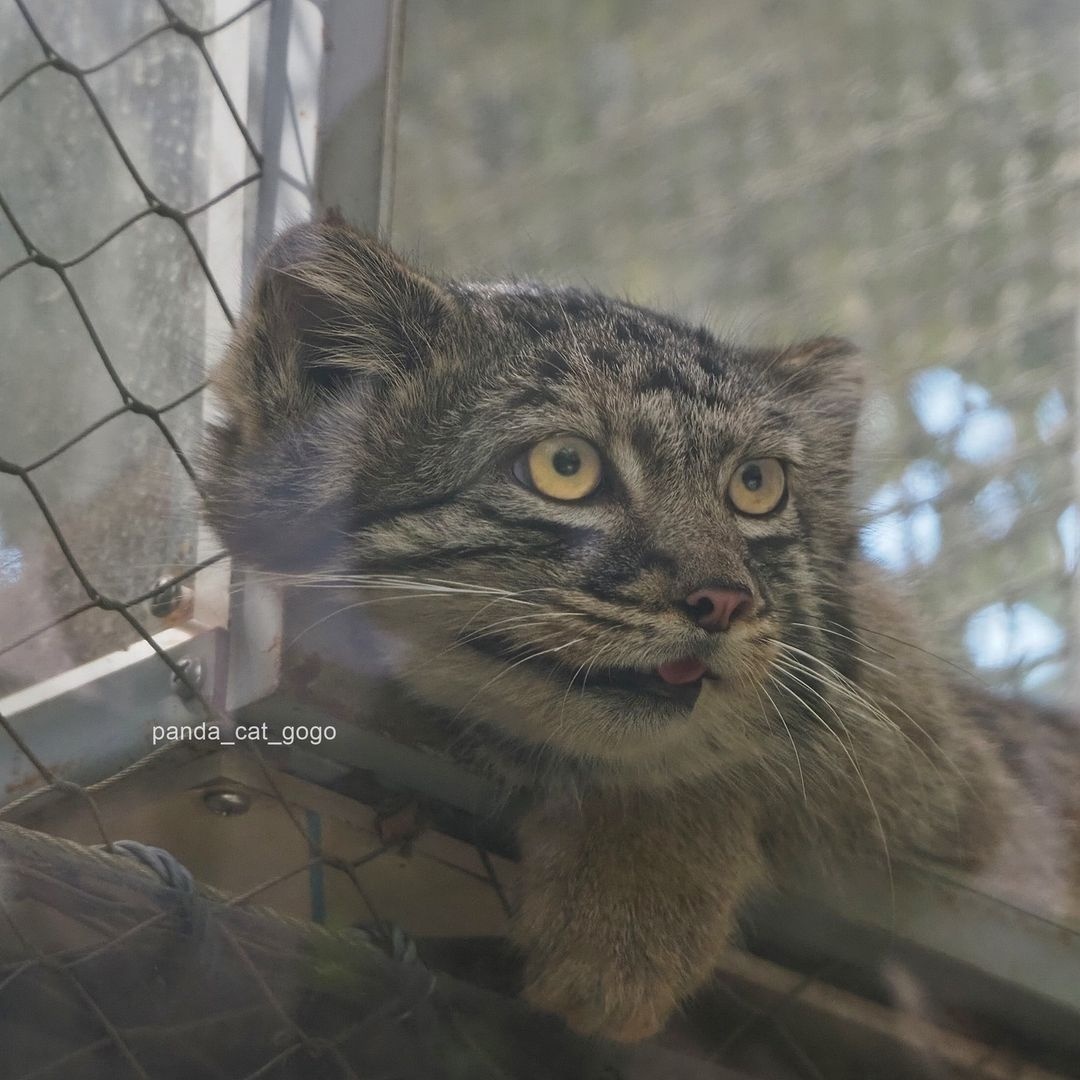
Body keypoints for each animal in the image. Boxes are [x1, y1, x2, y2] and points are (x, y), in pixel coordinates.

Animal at [200, 217, 1071, 1036]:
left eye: (756, 485)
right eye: (565, 467)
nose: (724, 601)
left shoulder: (965, 788)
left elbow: (708, 764)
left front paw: (630, 912)